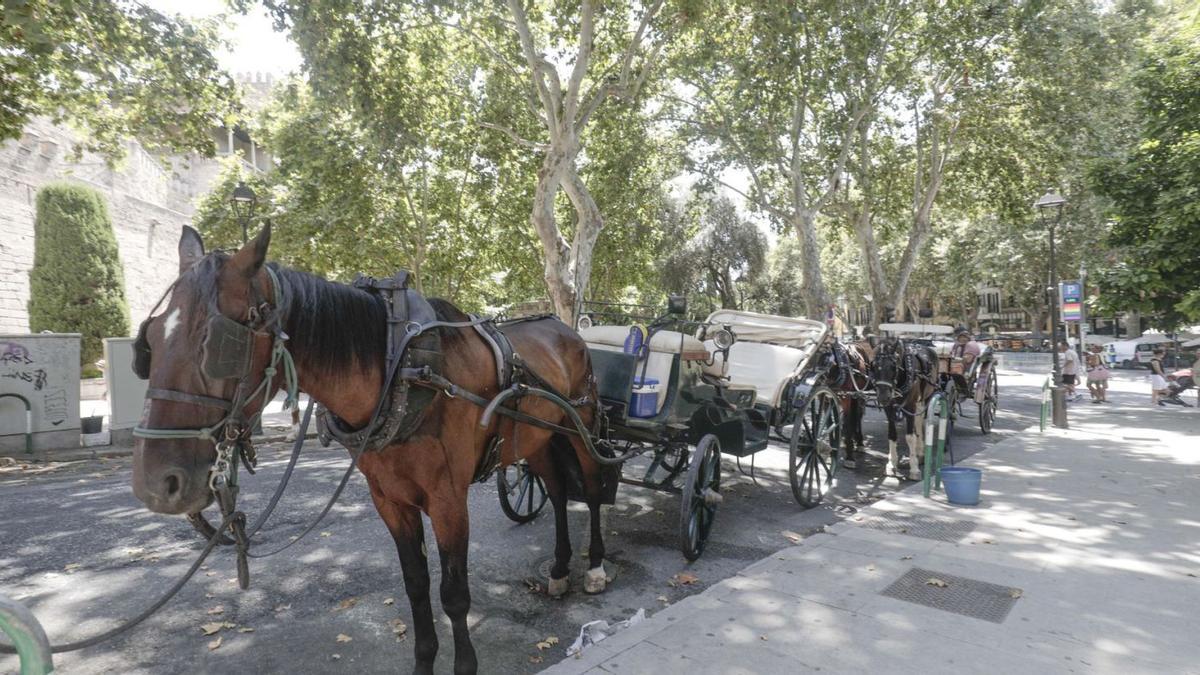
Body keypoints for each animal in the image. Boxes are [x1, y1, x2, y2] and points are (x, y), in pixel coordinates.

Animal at [131, 224, 609, 667]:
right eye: (148, 343)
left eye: (216, 345)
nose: (156, 484)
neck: (401, 367)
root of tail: (564, 327)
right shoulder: (389, 499)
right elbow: (415, 585)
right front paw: (423, 659)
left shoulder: (449, 500)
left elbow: (454, 593)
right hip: (538, 438)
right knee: (559, 491)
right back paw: (560, 569)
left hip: (583, 428)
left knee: (591, 488)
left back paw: (596, 567)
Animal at [873, 333, 936, 478]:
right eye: (874, 365)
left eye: (893, 366)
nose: (883, 396)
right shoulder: (889, 408)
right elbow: (892, 435)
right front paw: (891, 464)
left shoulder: (910, 406)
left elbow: (910, 437)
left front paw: (914, 468)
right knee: (918, 422)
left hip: (926, 398)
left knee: (920, 421)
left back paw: (920, 451)